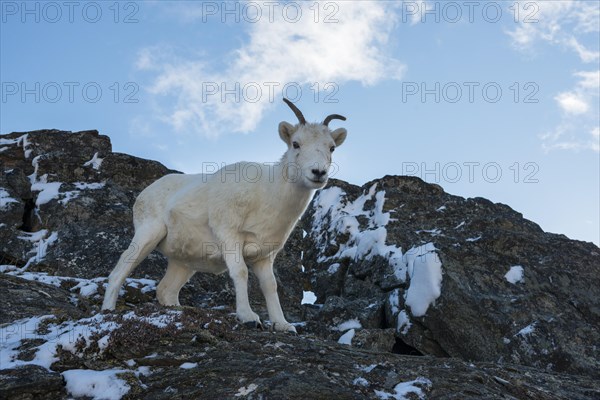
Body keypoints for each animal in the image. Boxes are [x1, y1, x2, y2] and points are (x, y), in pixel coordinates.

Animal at [101, 98, 346, 332]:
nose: (318, 173)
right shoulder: (229, 235)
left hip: (183, 264)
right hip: (147, 235)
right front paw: (249, 318)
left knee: (166, 290)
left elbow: (270, 286)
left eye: (332, 148)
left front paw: (284, 325)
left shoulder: (264, 255)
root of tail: (144, 194)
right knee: (119, 272)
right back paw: (107, 311)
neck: (267, 196)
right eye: (296, 143)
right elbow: (240, 273)